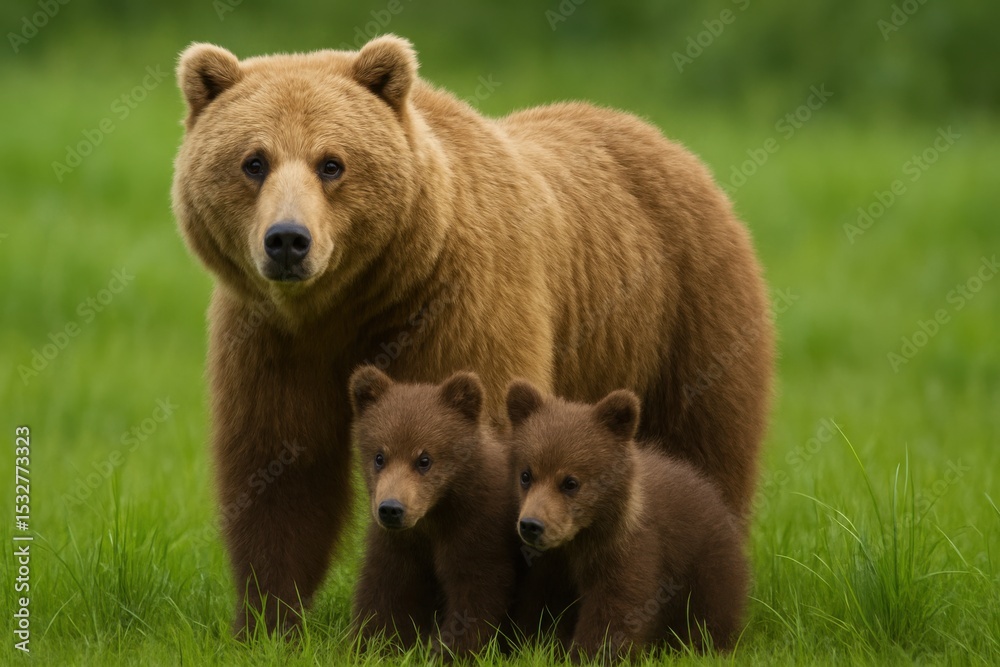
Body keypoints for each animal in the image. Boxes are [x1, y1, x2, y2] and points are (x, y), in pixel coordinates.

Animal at [348, 366, 520, 657]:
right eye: (379, 456)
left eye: (424, 459)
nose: (391, 509)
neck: (433, 518)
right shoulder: (400, 543)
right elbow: (388, 590)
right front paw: (372, 643)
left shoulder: (477, 531)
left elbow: (476, 592)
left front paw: (450, 650)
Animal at [505, 379, 749, 659]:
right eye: (526, 475)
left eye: (570, 482)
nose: (531, 525)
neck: (580, 538)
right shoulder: (551, 564)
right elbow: (538, 603)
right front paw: (529, 643)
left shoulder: (628, 550)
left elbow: (616, 607)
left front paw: (590, 653)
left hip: (706, 566)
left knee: (709, 615)